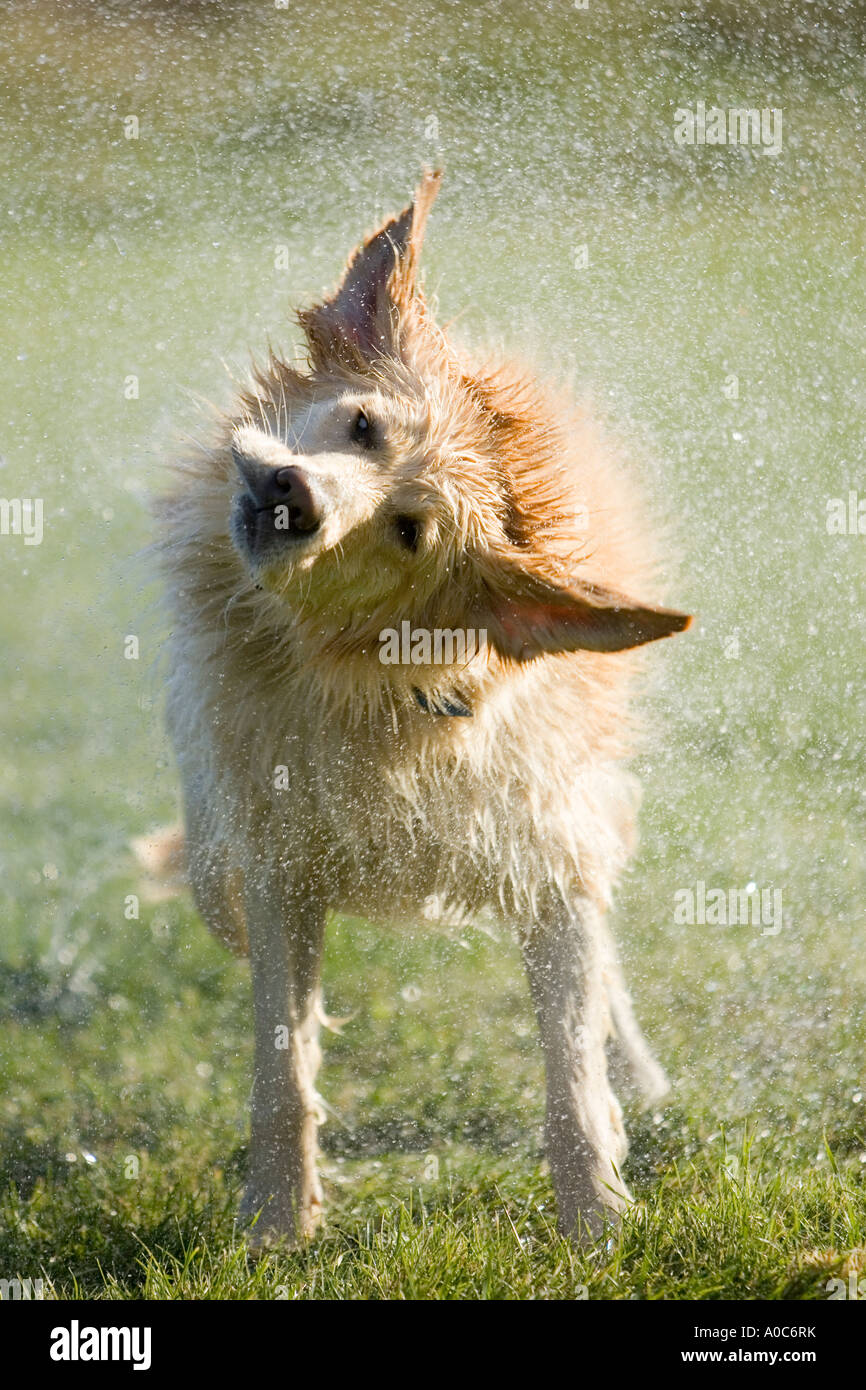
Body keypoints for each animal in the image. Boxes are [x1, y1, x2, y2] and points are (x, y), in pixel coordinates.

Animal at [150, 173, 692, 1251]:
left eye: (409, 531)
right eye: (362, 427)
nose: (291, 491)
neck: (371, 689)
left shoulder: (544, 843)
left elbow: (570, 1071)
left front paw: (595, 1222)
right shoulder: (283, 857)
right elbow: (283, 1064)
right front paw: (276, 1224)